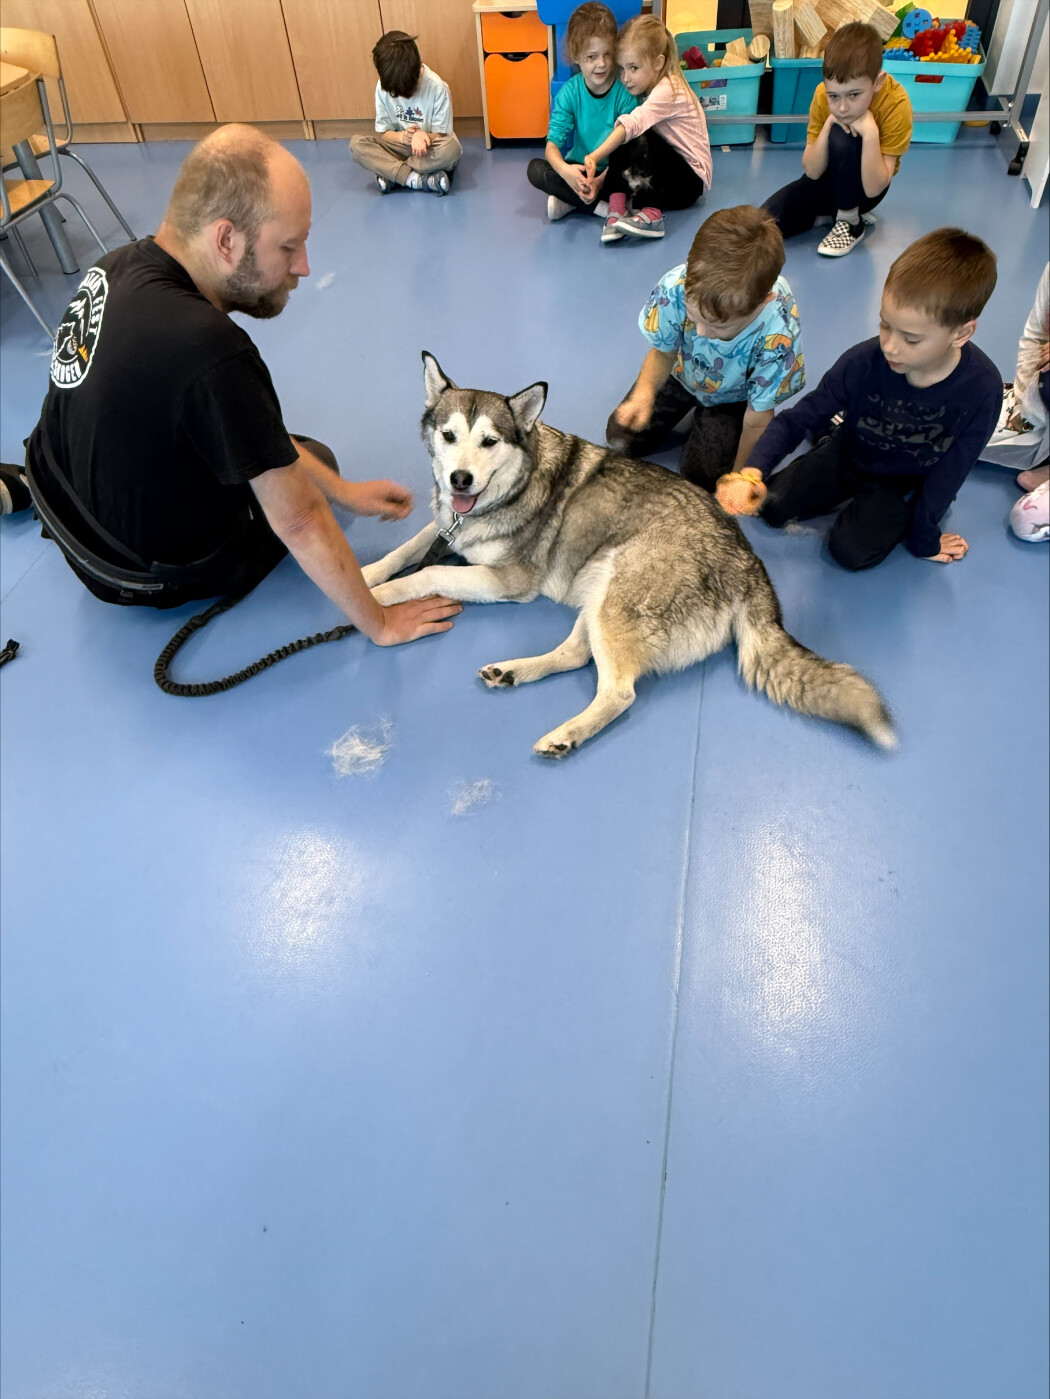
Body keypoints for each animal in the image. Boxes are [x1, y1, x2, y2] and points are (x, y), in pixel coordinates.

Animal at [362, 354, 896, 758]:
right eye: (449, 436)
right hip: (600, 591)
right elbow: (409, 548)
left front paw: (380, 599)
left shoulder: (510, 579)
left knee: (619, 691)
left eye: (489, 441)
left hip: (617, 600)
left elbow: (427, 570)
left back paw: (566, 734)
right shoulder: (447, 525)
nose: (460, 480)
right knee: (576, 655)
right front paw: (367, 574)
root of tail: (749, 563)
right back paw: (514, 671)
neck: (510, 487)